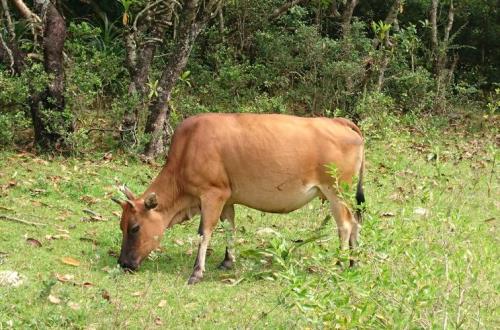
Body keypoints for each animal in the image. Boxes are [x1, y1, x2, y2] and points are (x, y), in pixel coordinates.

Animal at [112, 113, 364, 284]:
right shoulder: (228, 198)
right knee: (355, 223)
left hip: (336, 191)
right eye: (121, 226)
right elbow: (229, 227)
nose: (123, 263)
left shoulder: (212, 193)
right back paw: (353, 262)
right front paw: (227, 260)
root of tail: (340, 122)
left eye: (134, 227)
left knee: (345, 225)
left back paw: (339, 263)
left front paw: (197, 272)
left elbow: (205, 232)